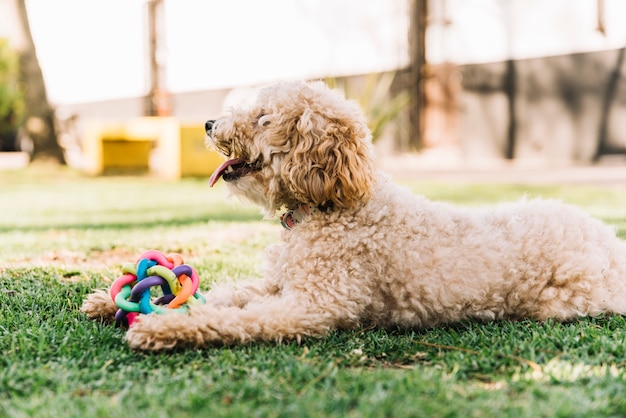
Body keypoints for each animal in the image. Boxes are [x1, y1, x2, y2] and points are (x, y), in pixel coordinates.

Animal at [80, 80, 624, 352]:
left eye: (263, 118)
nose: (210, 123)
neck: (333, 208)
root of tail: (611, 243)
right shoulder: (278, 283)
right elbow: (224, 294)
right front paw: (112, 302)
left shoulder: (313, 305)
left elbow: (230, 317)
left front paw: (161, 329)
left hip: (563, 300)